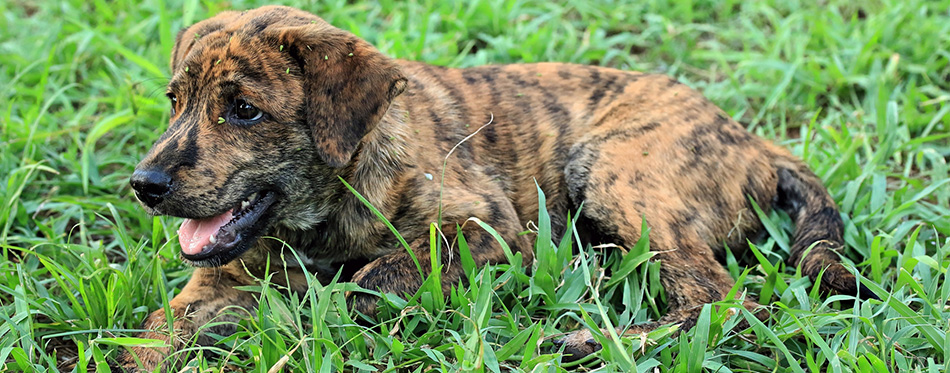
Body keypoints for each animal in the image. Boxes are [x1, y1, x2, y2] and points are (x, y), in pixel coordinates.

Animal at [122, 4, 880, 370]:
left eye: (244, 110)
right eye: (175, 101)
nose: (143, 185)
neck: (327, 207)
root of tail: (747, 135)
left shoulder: (485, 227)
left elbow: (371, 277)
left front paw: (312, 305)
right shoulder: (222, 272)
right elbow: (161, 325)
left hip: (614, 172)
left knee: (723, 300)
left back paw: (587, 342)